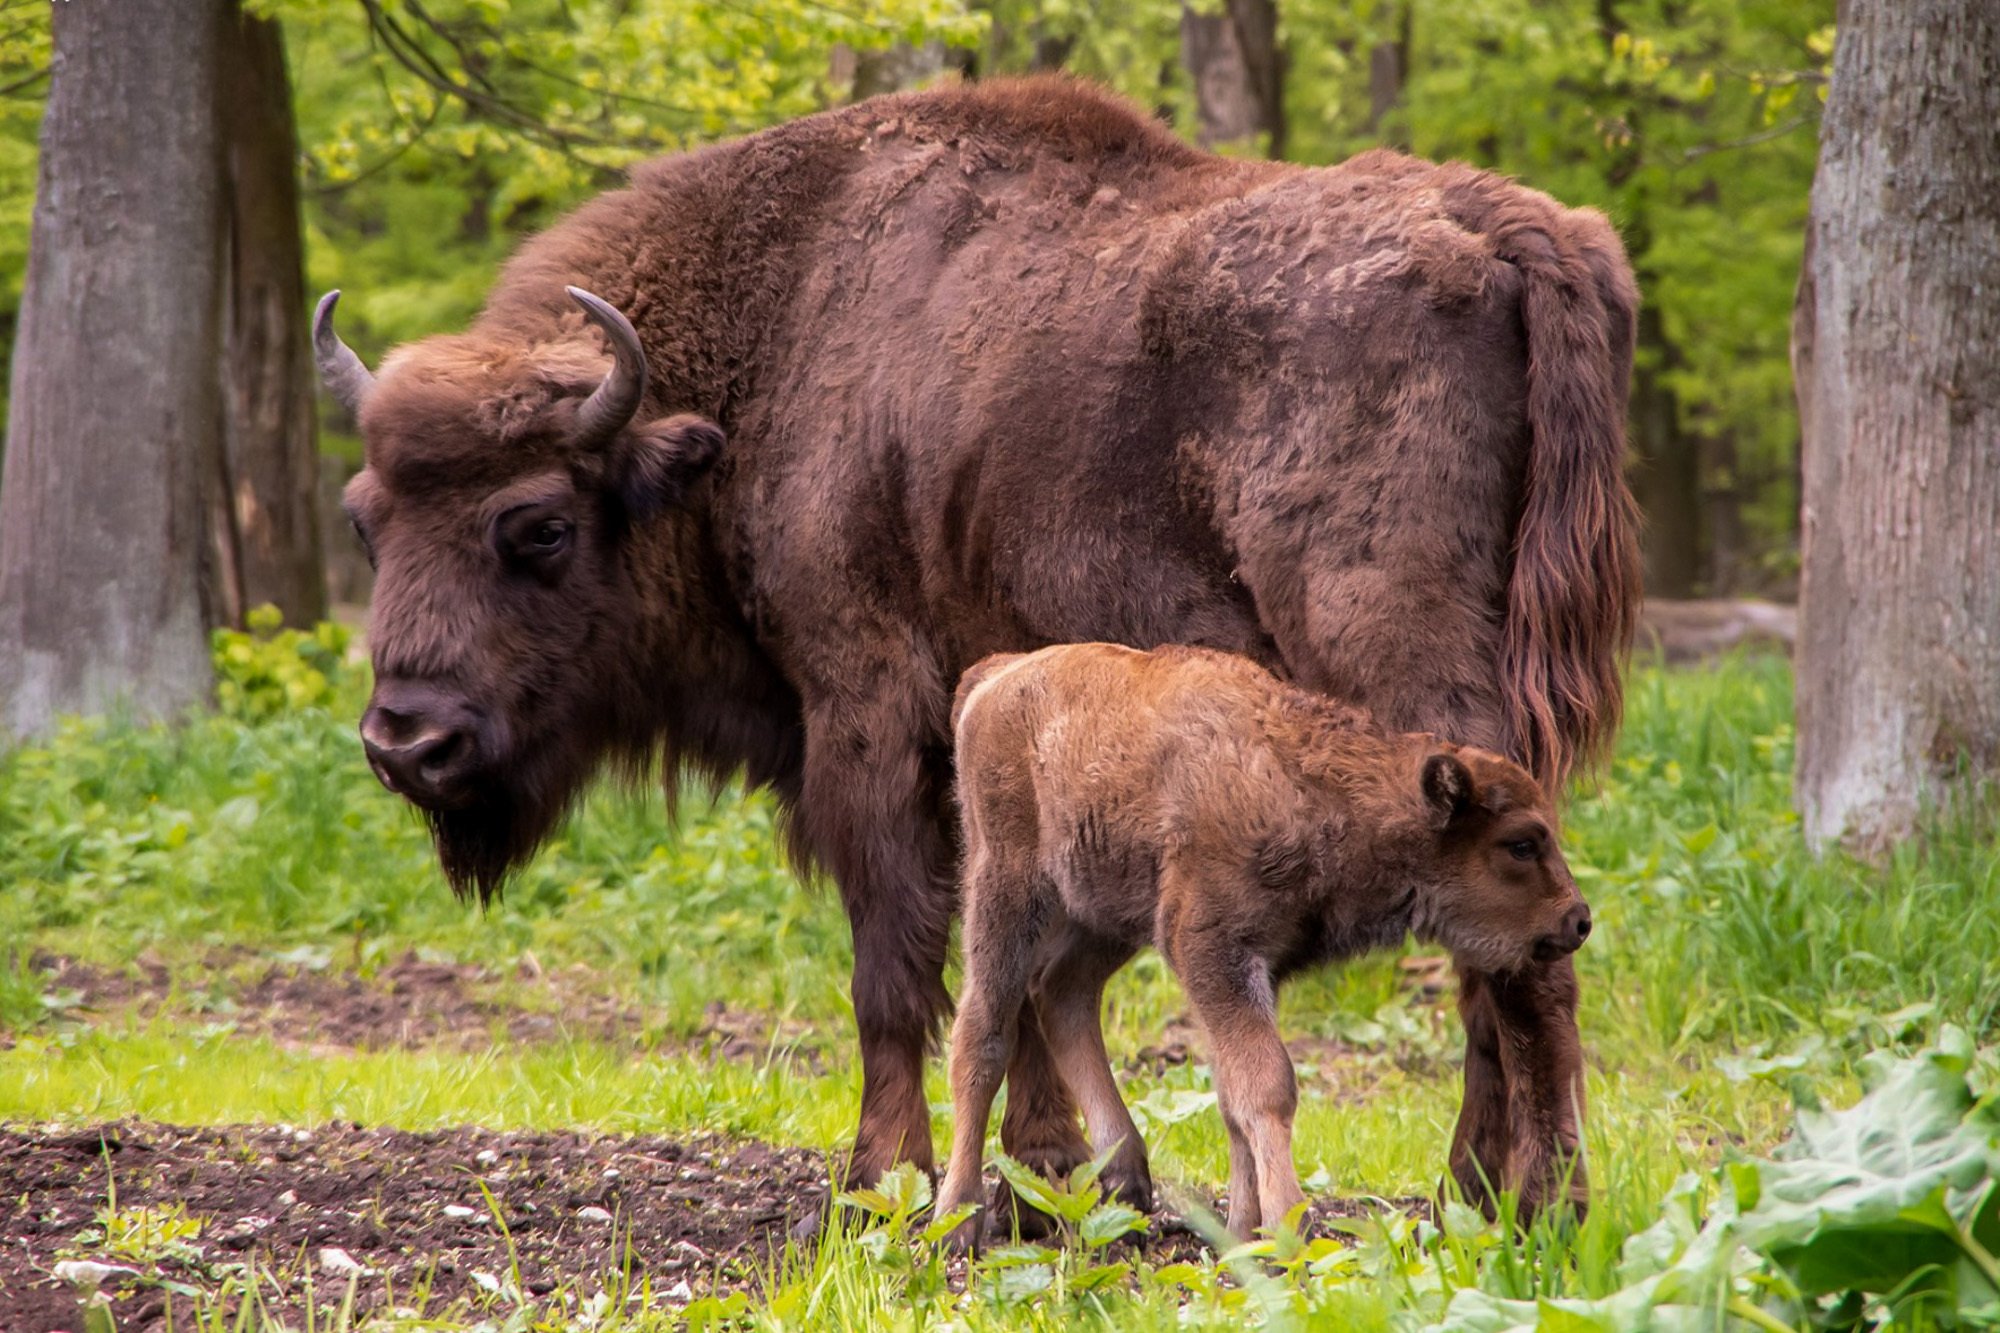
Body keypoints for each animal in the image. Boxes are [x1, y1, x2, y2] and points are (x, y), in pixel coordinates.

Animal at [940, 640, 1592, 1240]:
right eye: (1521, 843)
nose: (1578, 920)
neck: (1311, 784)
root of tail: (997, 676)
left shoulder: (1255, 969)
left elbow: (1233, 1097)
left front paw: (1241, 1231)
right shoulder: (1213, 952)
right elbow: (1266, 1086)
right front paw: (1286, 1226)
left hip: (1101, 913)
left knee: (1063, 992)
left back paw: (1126, 1178)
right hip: (1007, 886)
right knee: (983, 1032)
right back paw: (956, 1219)